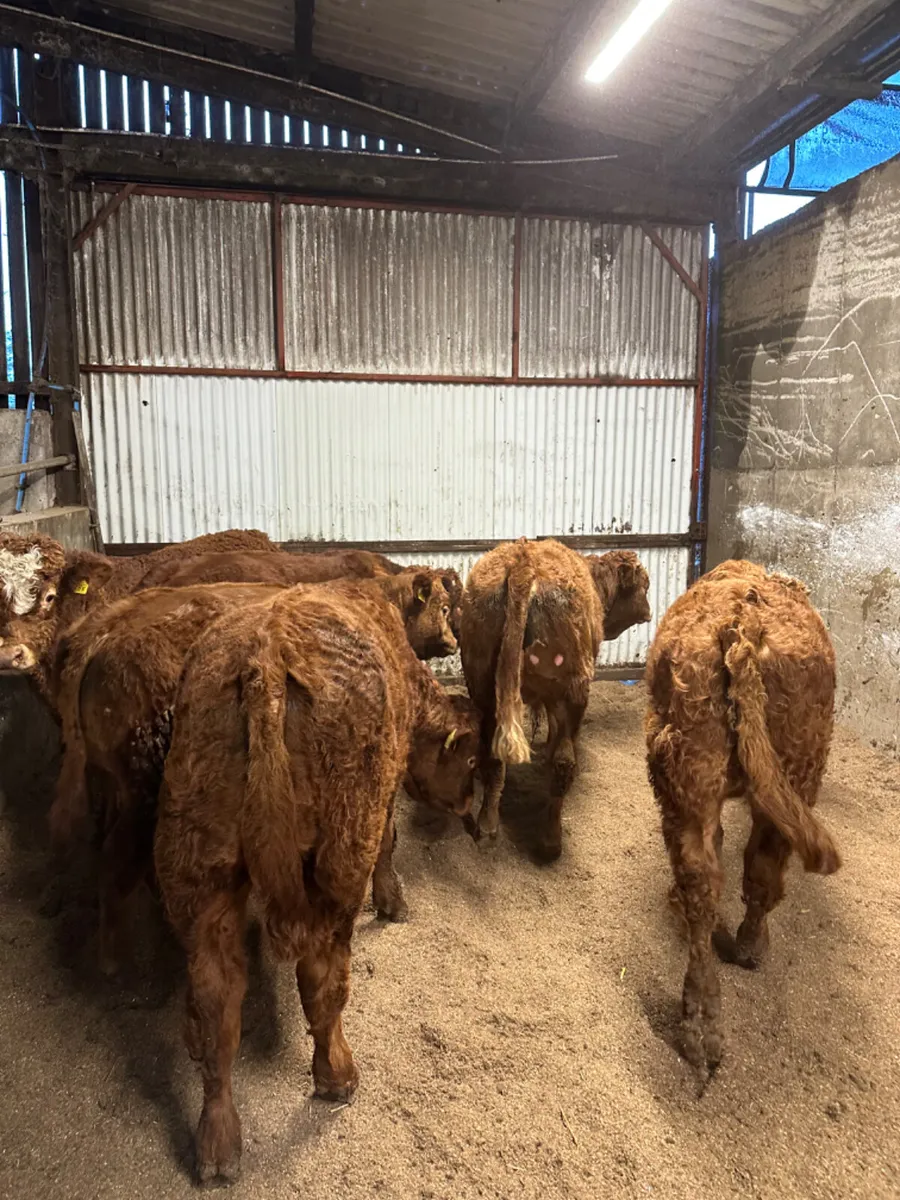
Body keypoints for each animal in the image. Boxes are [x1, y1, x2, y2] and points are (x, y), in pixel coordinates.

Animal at [49, 570, 458, 975]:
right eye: (444, 607)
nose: (453, 641)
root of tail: (102, 631)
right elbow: (388, 839)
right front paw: (393, 902)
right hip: (141, 792)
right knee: (115, 861)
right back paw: (114, 961)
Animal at [154, 583, 482, 1183]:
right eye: (469, 760)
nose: (468, 809)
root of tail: (265, 651)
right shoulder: (382, 799)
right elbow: (390, 844)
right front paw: (393, 901)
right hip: (337, 858)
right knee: (322, 977)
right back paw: (337, 1074)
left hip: (199, 867)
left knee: (216, 1001)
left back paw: (218, 1141)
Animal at [460, 540, 651, 859]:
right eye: (645, 584)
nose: (649, 613)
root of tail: (523, 561)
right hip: (572, 690)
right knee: (564, 762)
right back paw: (551, 841)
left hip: (483, 687)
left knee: (494, 756)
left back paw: (487, 828)